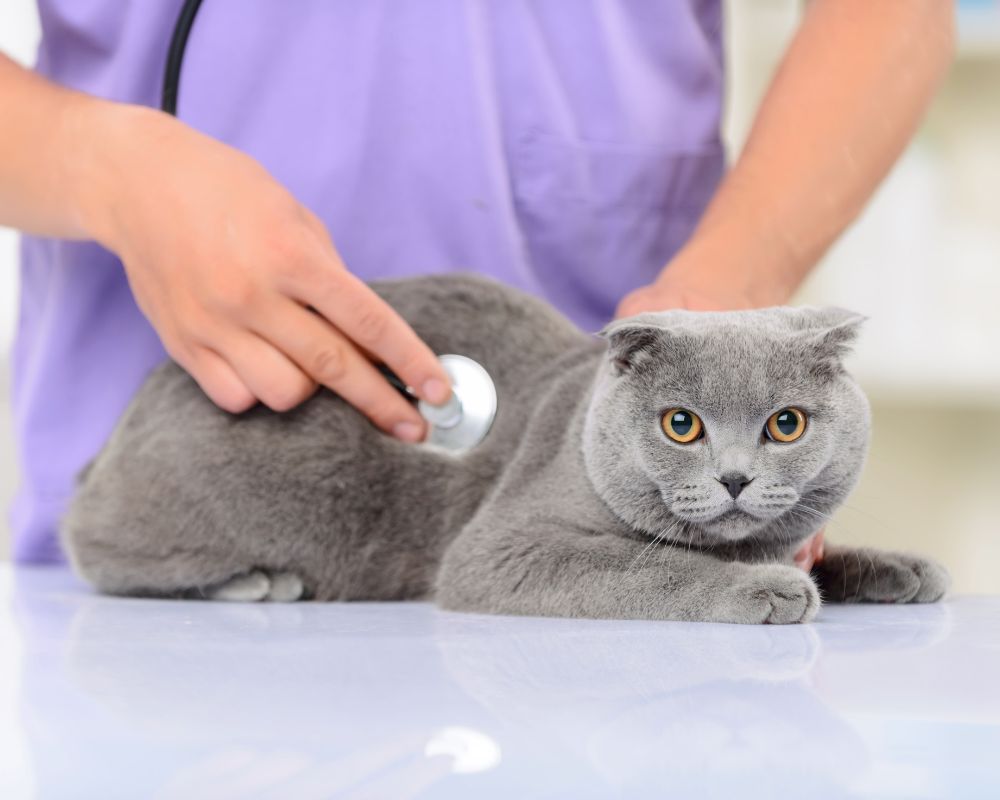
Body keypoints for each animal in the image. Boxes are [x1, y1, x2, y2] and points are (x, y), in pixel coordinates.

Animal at [58, 272, 948, 620]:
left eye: (786, 425)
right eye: (681, 424)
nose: (733, 477)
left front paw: (900, 568)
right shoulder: (504, 547)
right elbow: (654, 566)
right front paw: (766, 590)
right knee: (93, 548)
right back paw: (255, 582)